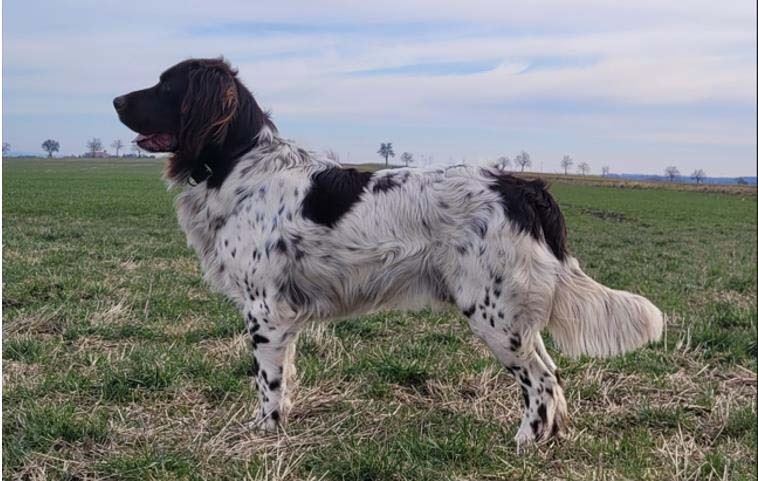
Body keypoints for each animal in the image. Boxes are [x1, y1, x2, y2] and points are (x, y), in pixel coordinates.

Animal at [114, 58, 663, 444]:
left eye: (167, 85)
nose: (116, 100)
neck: (240, 163)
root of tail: (522, 185)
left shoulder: (265, 311)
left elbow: (268, 383)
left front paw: (264, 432)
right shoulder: (283, 316)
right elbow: (284, 378)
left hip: (494, 313)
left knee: (541, 380)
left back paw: (525, 442)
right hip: (513, 313)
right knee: (552, 377)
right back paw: (549, 438)